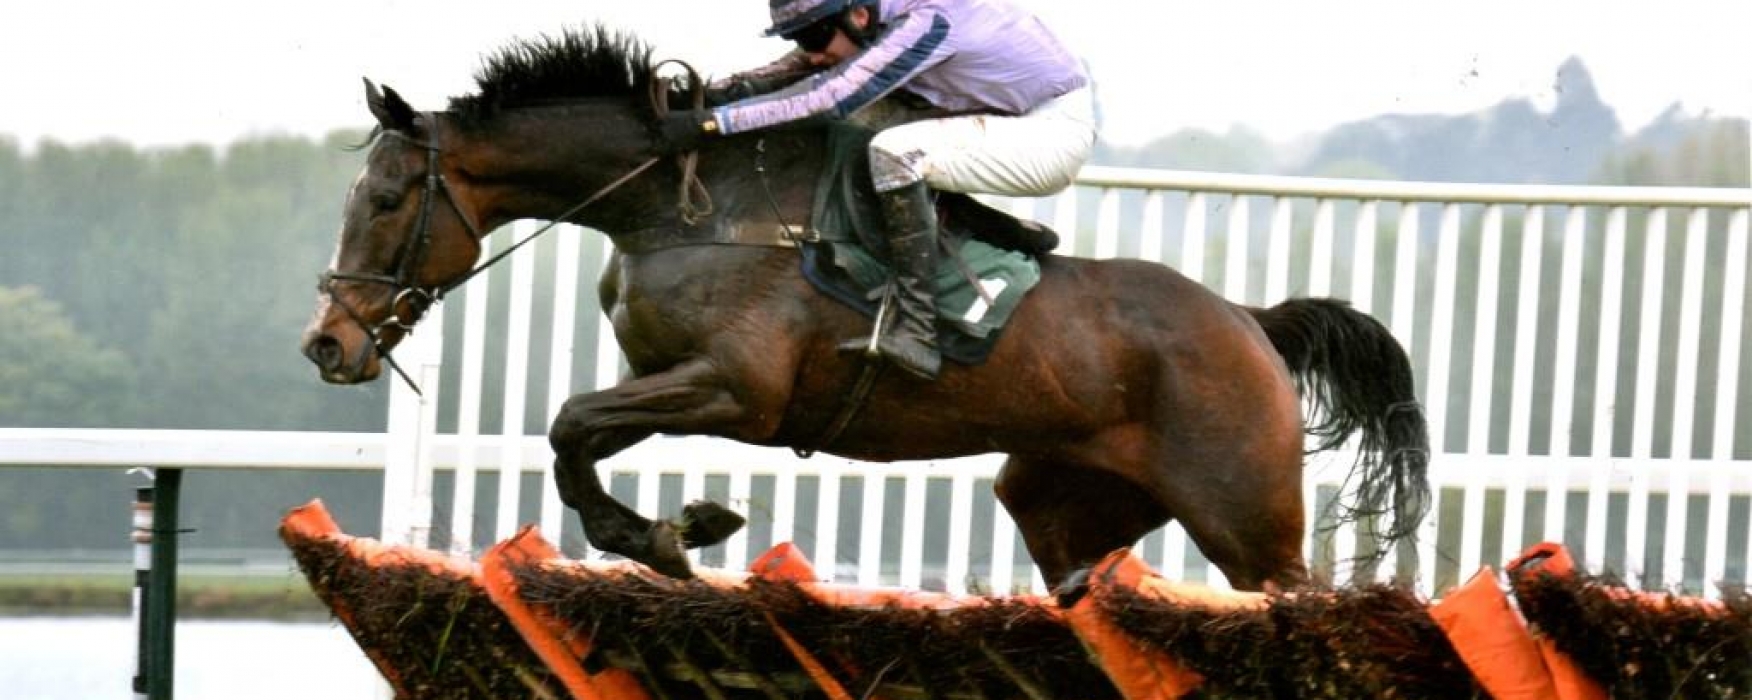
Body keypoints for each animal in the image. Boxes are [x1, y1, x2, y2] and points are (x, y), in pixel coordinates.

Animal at [300, 27, 1429, 592]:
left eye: (388, 200)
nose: (327, 343)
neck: (685, 203)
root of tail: (1251, 321)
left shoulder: (739, 392)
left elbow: (570, 424)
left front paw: (672, 534)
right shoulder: (663, 379)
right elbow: (574, 444)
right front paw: (678, 528)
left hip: (1246, 519)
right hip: (1065, 499)